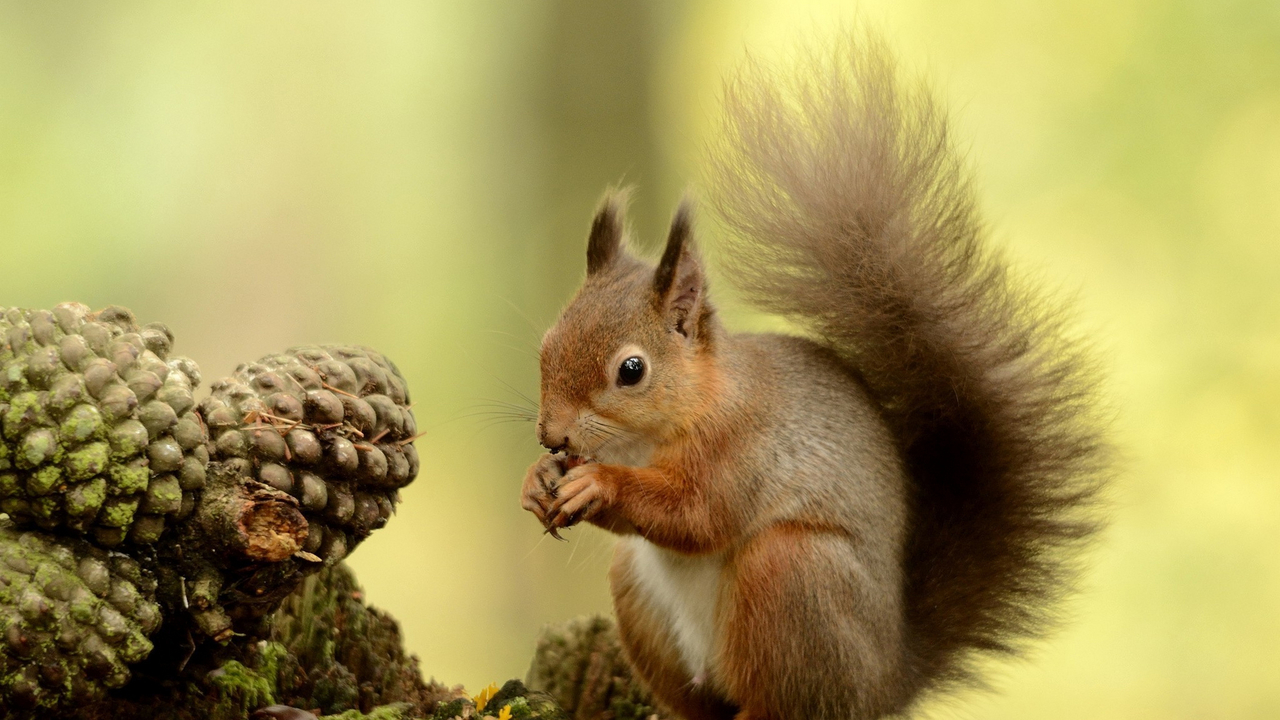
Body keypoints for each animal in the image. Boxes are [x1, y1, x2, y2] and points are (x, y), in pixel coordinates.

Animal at [519, 30, 1111, 717]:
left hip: (793, 577)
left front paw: (598, 484)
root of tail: (885, 680)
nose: (551, 436)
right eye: (546, 343)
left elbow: (696, 516)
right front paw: (537, 481)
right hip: (640, 592)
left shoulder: (742, 448)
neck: (655, 432)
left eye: (632, 370)